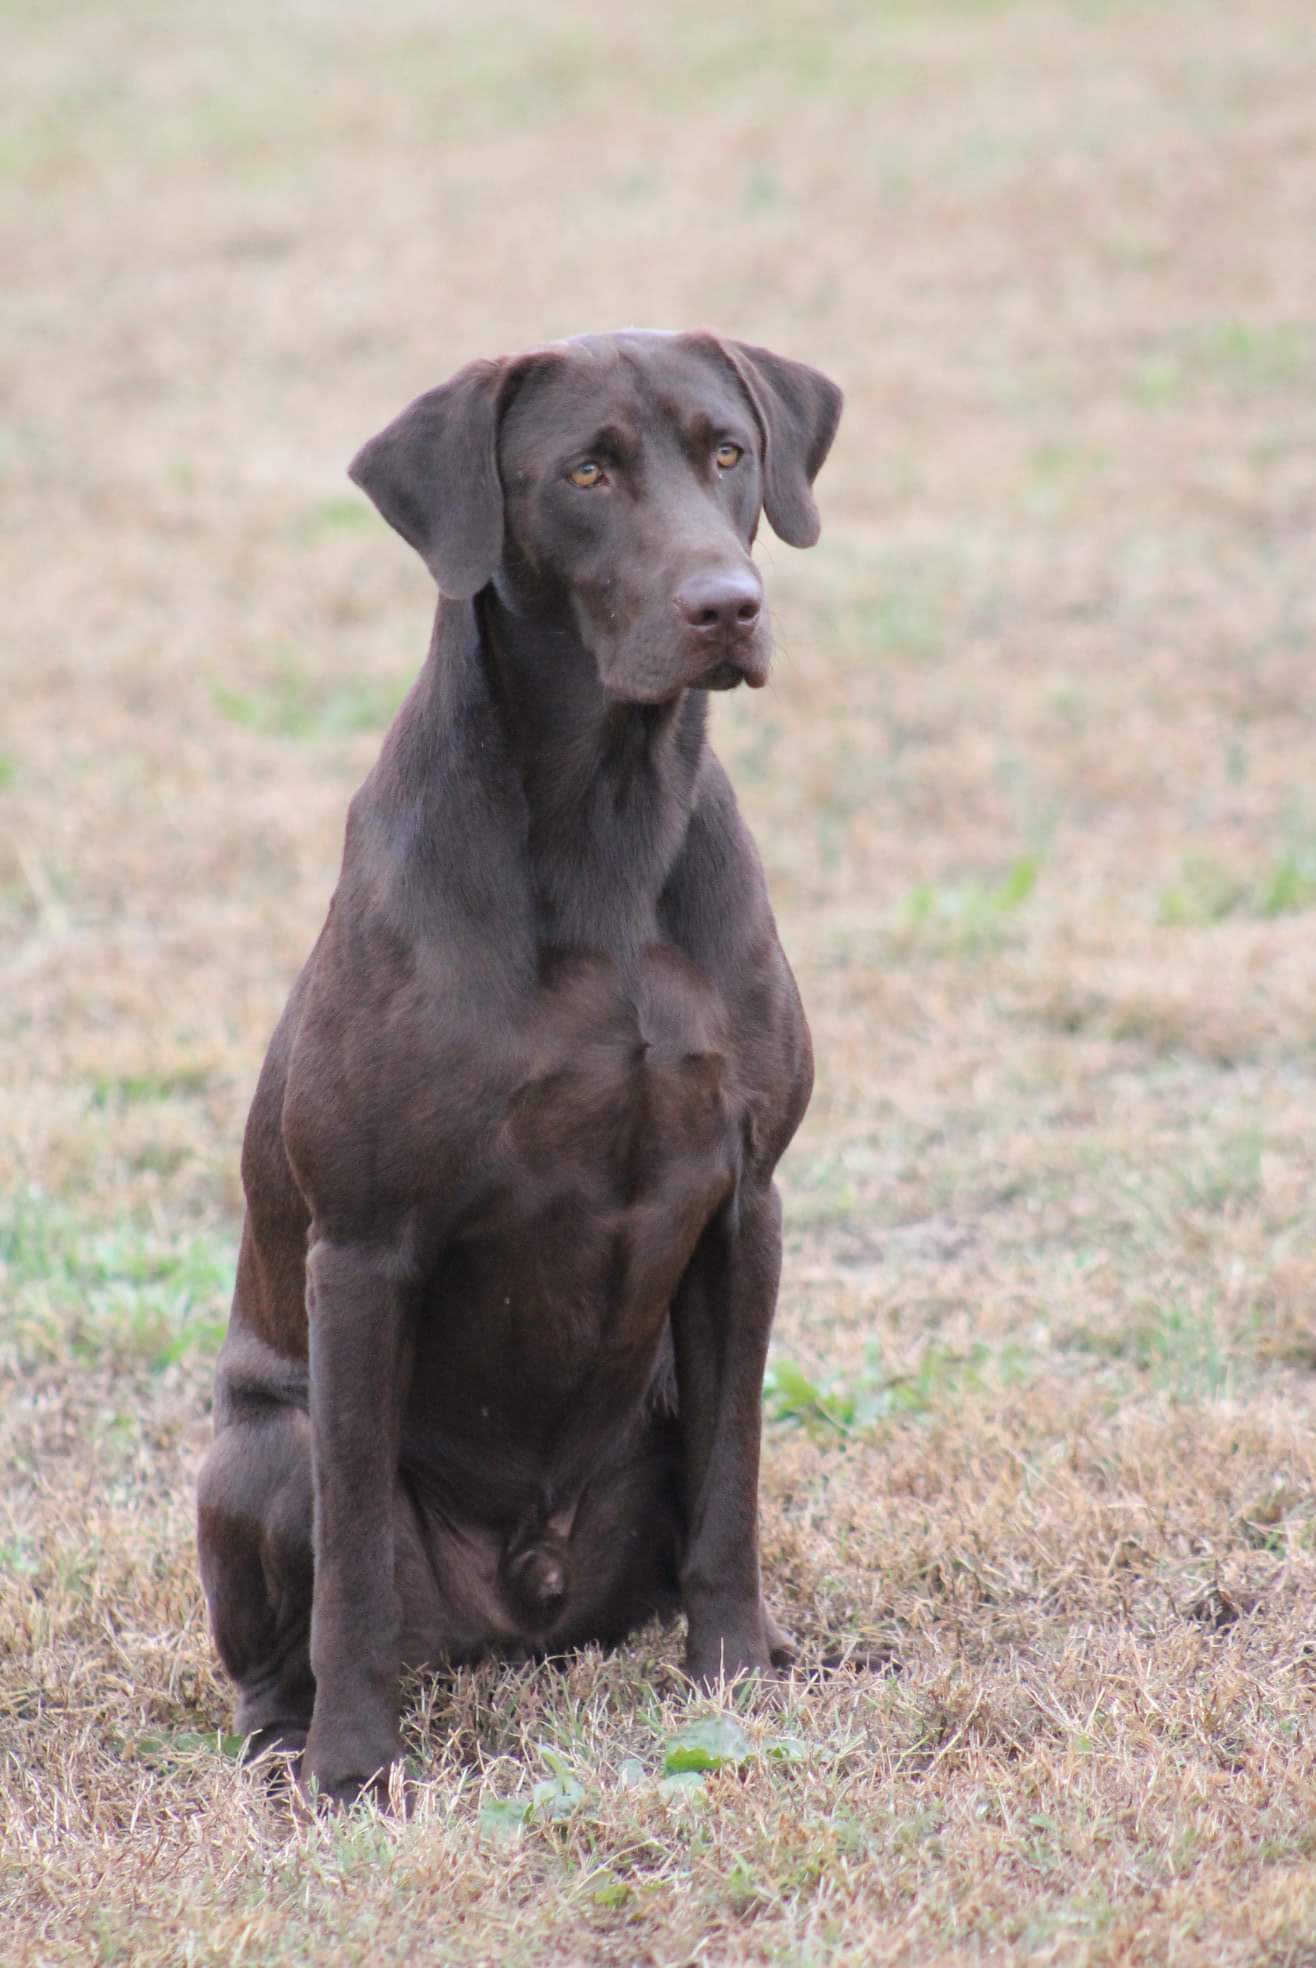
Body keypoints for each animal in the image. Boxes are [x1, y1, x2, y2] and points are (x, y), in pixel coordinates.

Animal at [194, 326, 841, 1802]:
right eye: (585, 473)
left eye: (729, 450)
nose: (728, 606)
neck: (605, 811)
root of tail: (520, 1612)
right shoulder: (364, 1248)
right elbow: (354, 1559)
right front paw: (354, 1771)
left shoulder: (743, 1205)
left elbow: (735, 1488)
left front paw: (734, 1679)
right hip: (260, 1447)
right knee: (292, 1611)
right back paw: (287, 1738)